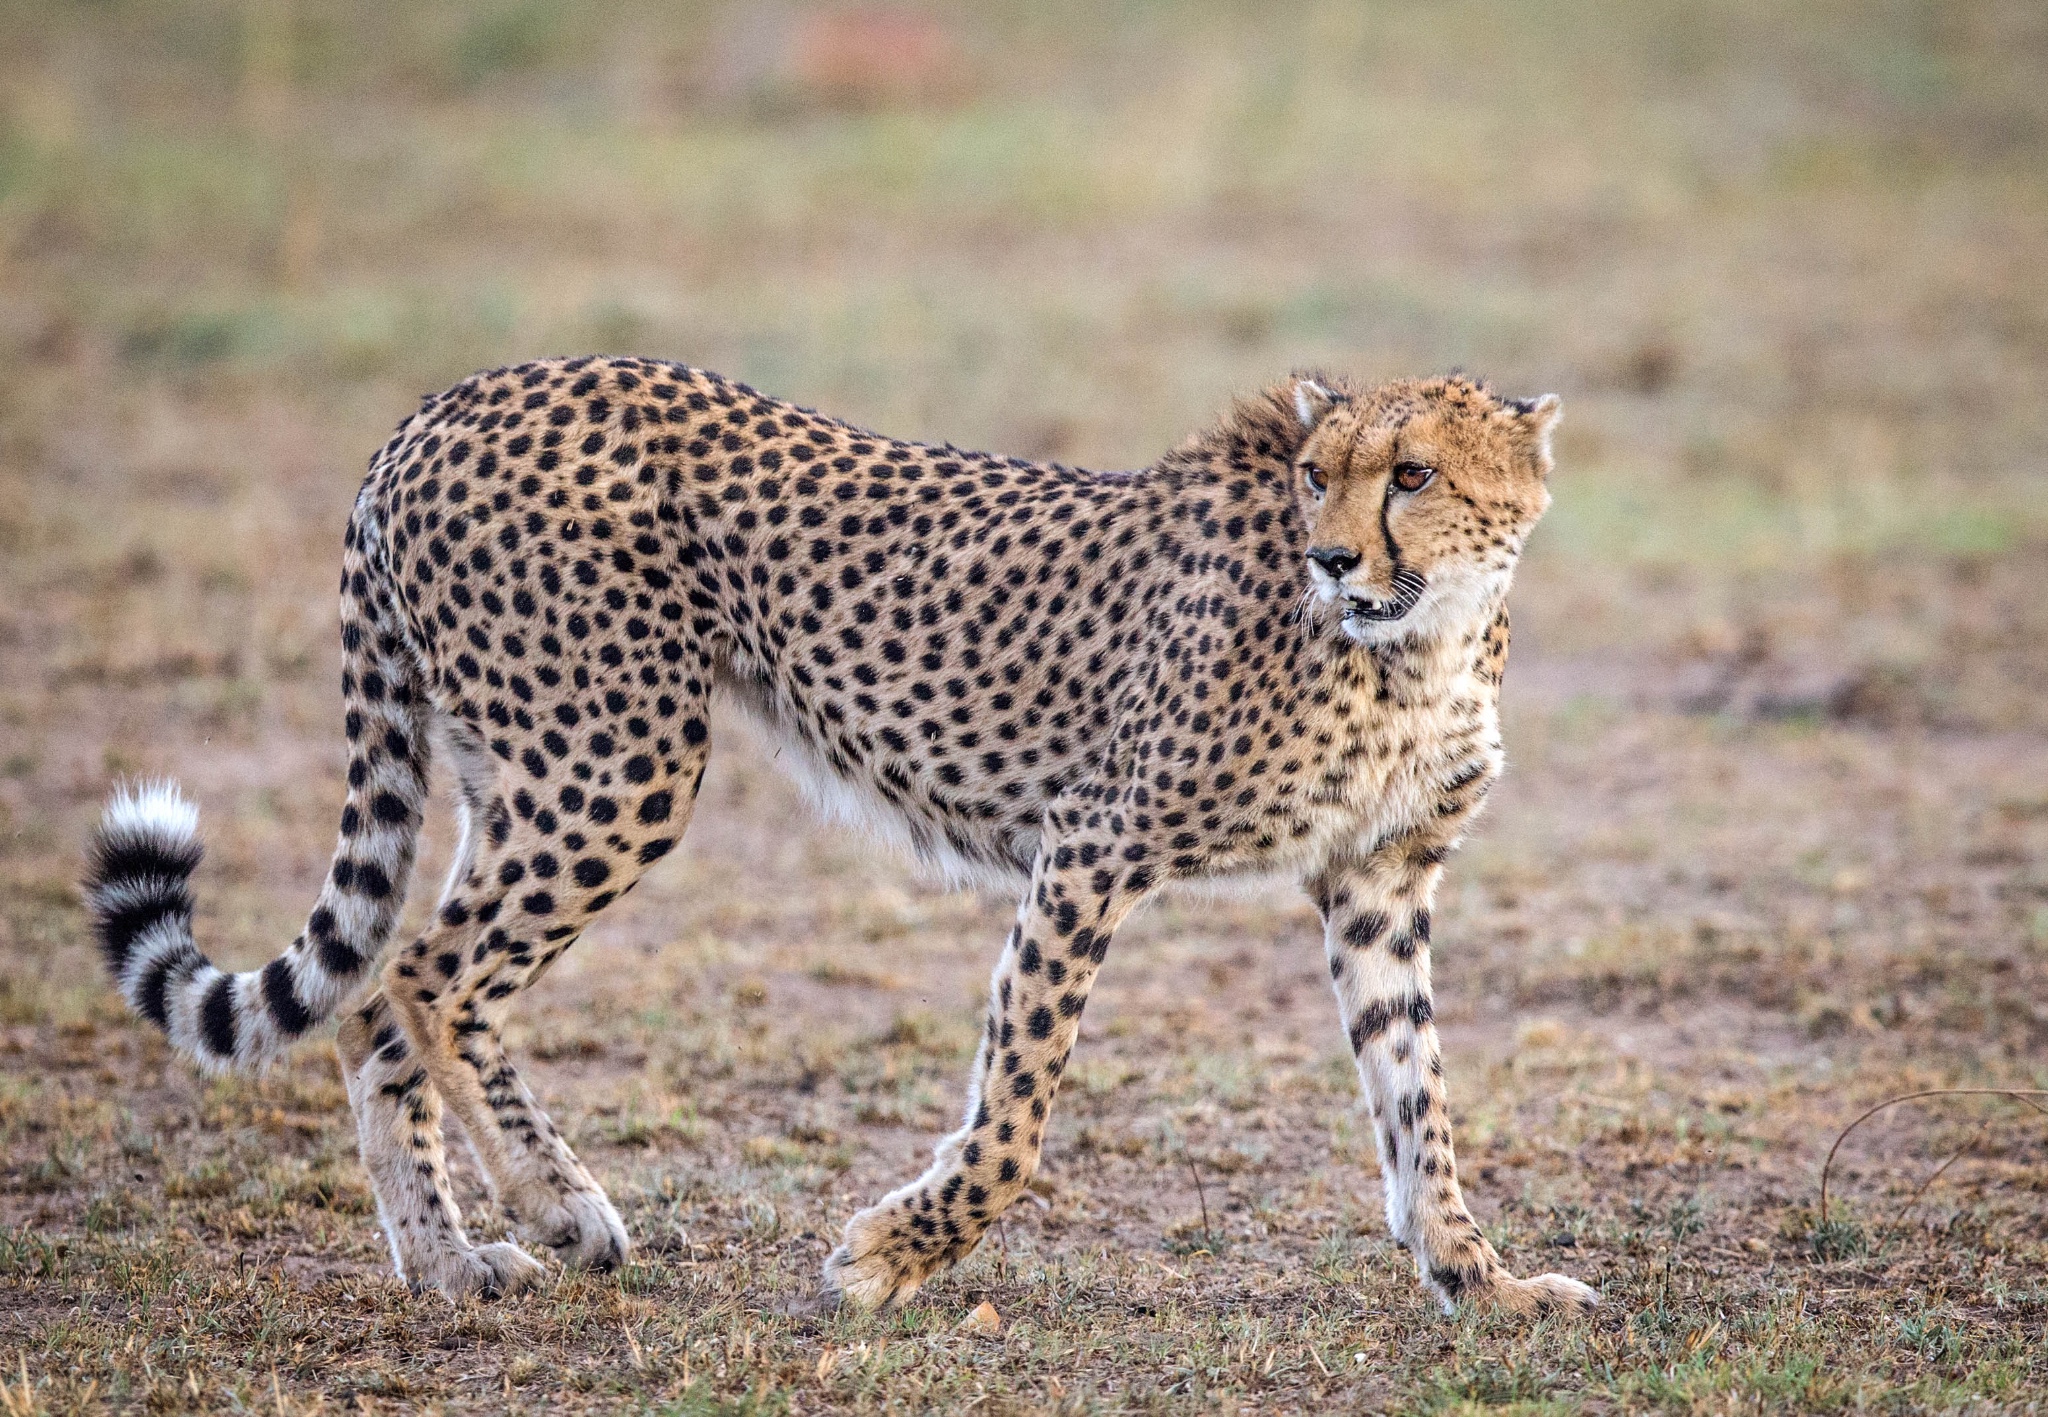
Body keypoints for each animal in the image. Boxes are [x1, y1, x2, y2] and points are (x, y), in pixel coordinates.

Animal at [83, 356, 1597, 1318]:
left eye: (1412, 474)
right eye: (1315, 475)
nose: (1335, 558)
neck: (1416, 643)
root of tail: (443, 405)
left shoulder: (1376, 881)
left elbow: (1418, 1100)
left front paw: (1479, 1279)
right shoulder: (1089, 847)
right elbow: (1016, 1116)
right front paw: (888, 1257)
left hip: (516, 776)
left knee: (375, 1003)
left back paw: (452, 1264)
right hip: (615, 765)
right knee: (426, 978)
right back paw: (563, 1210)